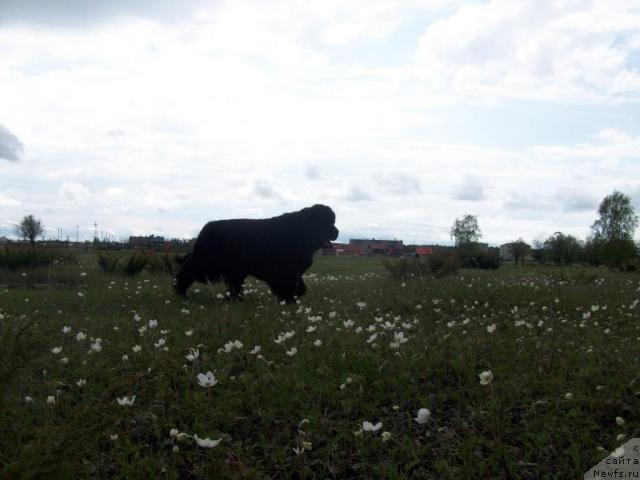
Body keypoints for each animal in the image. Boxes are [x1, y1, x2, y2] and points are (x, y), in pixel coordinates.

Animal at [172, 204, 338, 302]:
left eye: (332, 221)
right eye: (324, 222)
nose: (336, 232)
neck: (299, 233)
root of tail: (206, 228)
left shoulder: (293, 272)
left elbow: (299, 286)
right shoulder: (283, 271)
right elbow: (288, 286)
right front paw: (288, 299)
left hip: (234, 270)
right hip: (206, 263)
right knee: (185, 272)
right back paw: (180, 293)